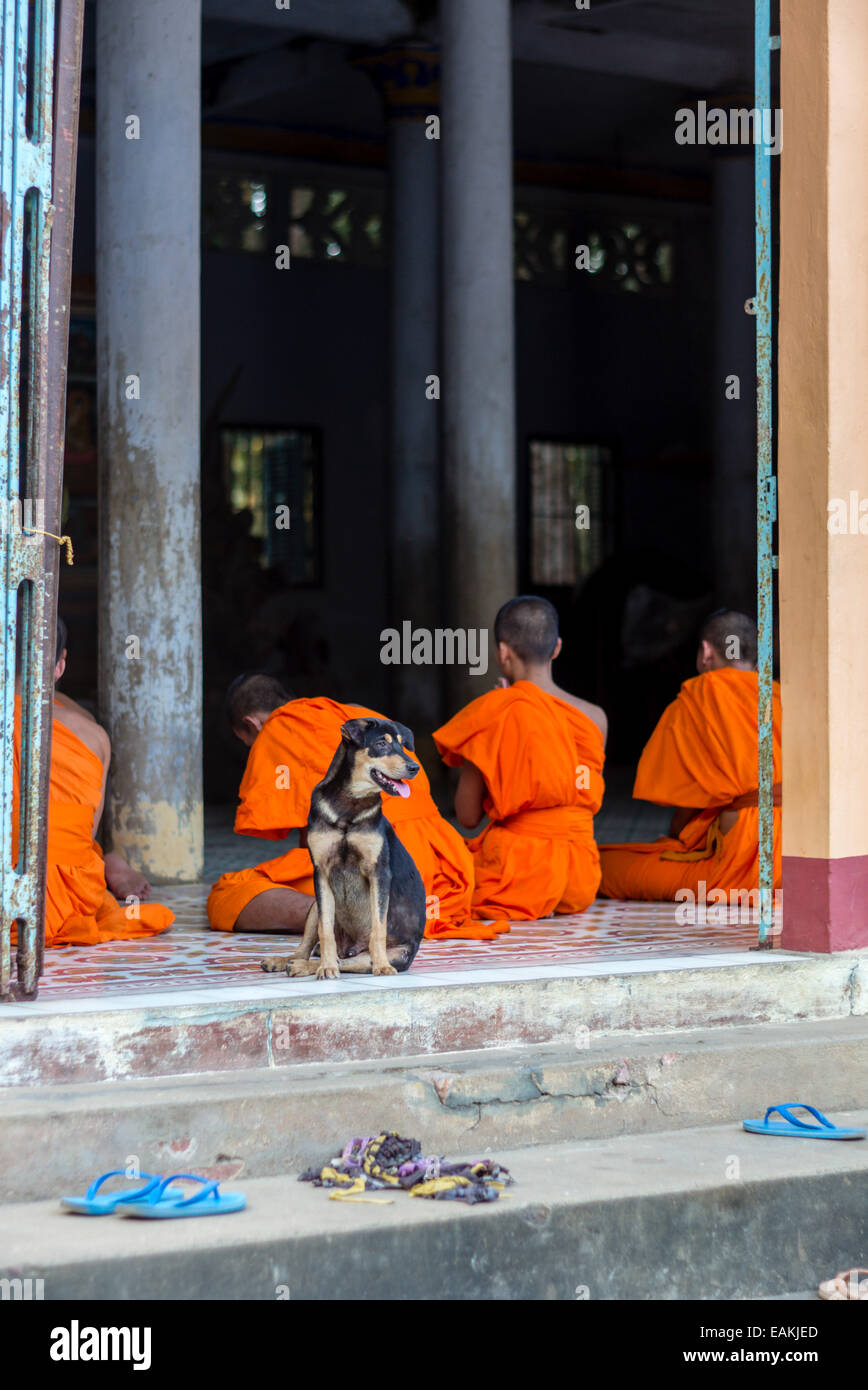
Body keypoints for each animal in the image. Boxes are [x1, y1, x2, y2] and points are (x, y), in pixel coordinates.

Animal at [264, 717, 428, 978]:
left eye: (403, 745)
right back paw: (289, 961)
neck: (350, 802)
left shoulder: (378, 871)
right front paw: (326, 967)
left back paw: (306, 966)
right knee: (308, 947)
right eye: (381, 743)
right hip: (314, 906)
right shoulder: (321, 871)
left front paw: (382, 967)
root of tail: (348, 948)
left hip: (396, 953)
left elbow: (378, 928)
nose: (414, 767)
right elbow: (325, 930)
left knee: (352, 960)